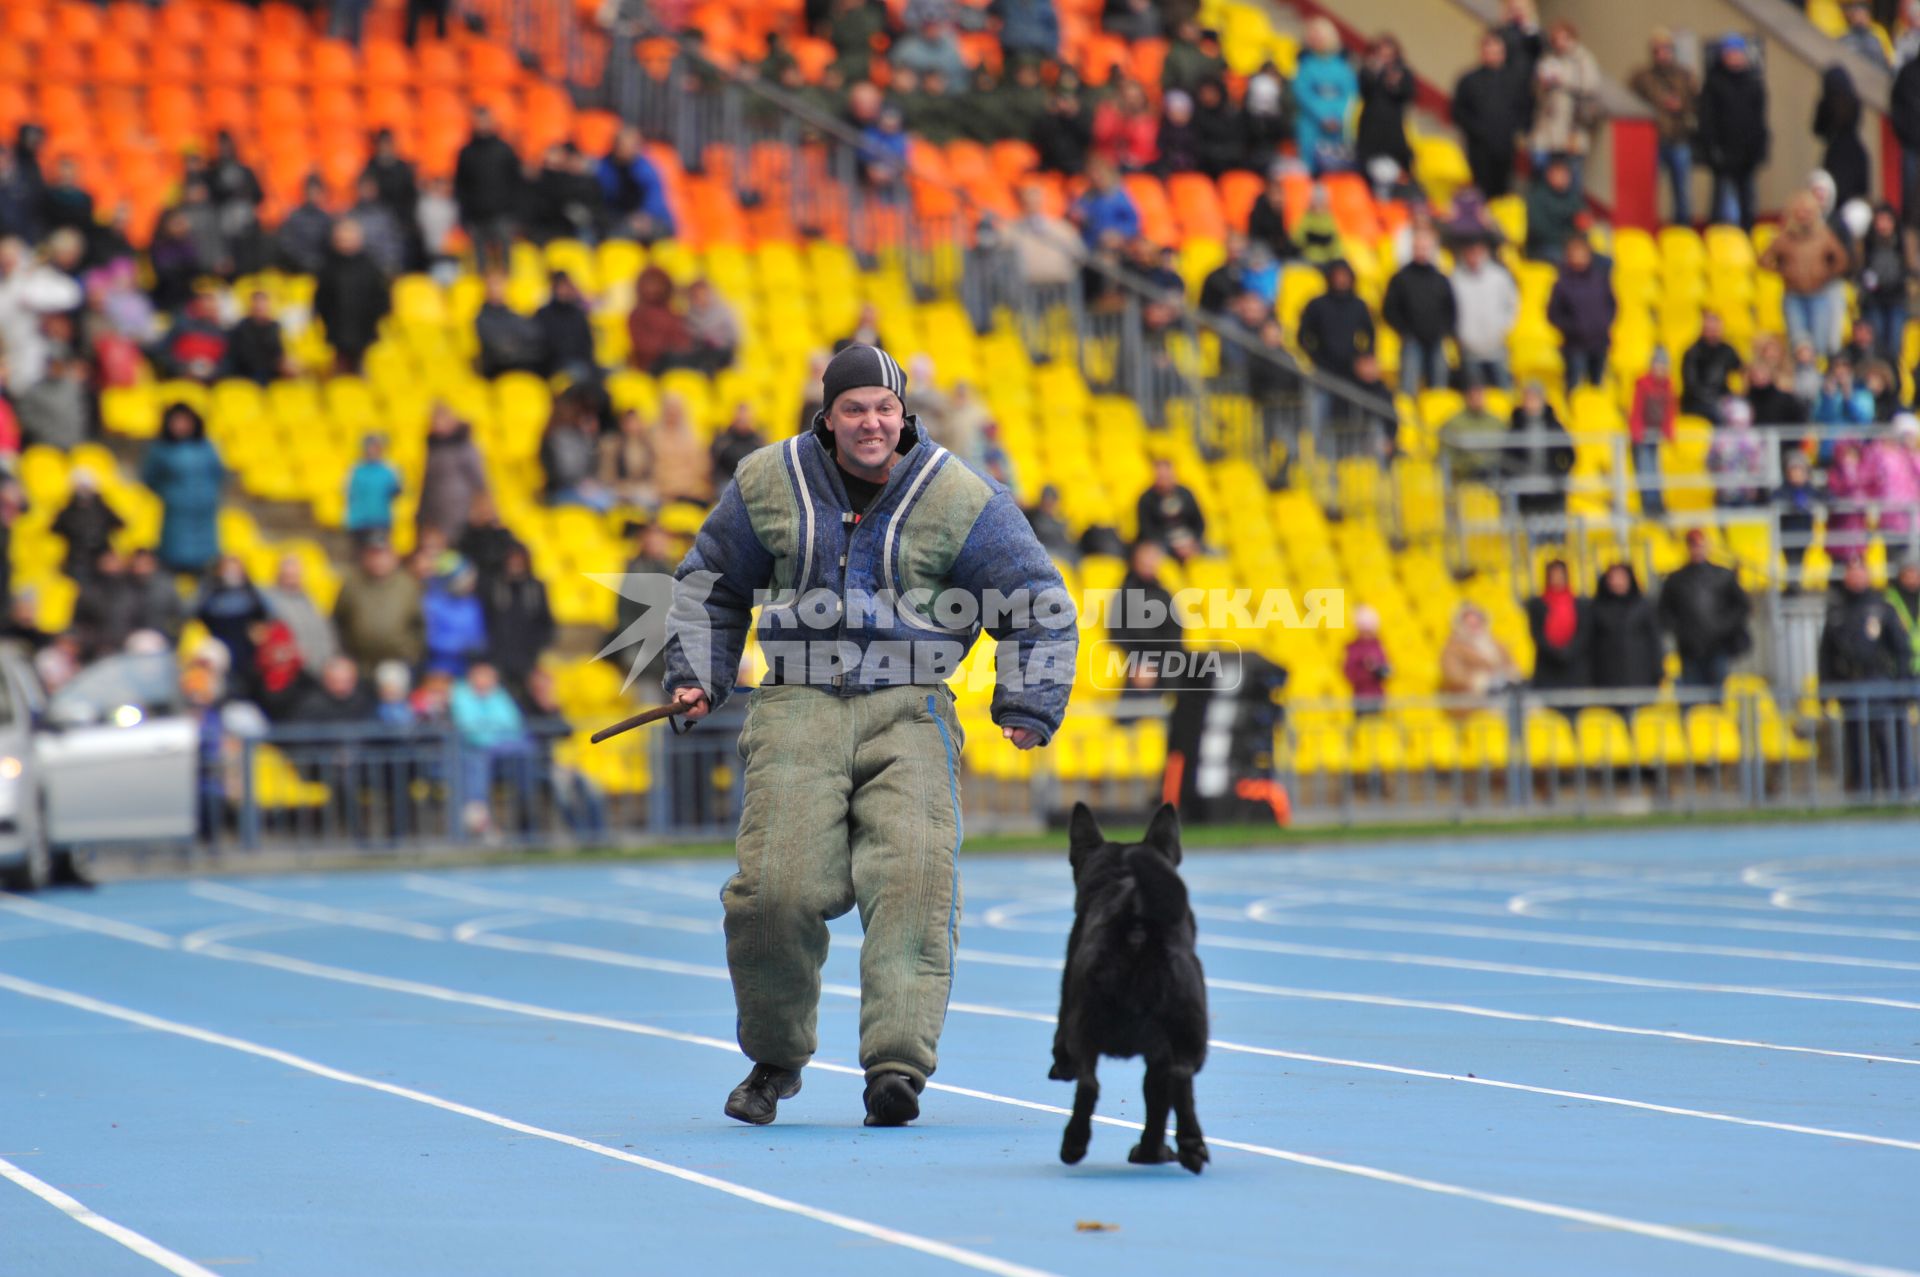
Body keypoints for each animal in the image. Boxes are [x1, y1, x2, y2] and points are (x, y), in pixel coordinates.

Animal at [1052, 802, 1198, 1167]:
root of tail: (1135, 919)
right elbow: (1158, 1100)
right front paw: (1154, 1151)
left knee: (1089, 1082)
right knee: (1176, 1082)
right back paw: (1182, 1149)